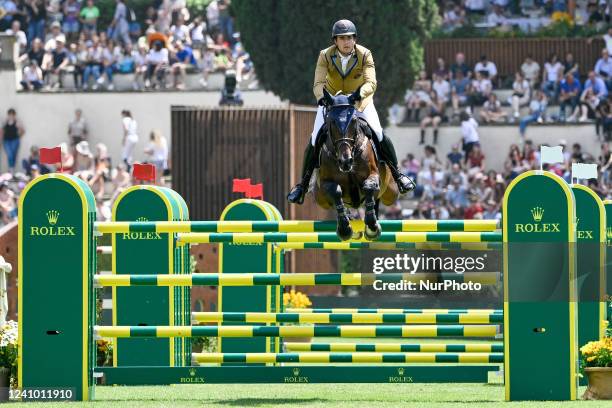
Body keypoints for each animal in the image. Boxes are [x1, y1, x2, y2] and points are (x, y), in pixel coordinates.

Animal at [314, 89, 400, 241]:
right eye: (331, 121)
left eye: (353, 120)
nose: (346, 161)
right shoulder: (325, 182)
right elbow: (336, 192)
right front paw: (345, 229)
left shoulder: (373, 175)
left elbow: (369, 187)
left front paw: (372, 227)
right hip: (320, 198)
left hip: (391, 192)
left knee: (380, 197)